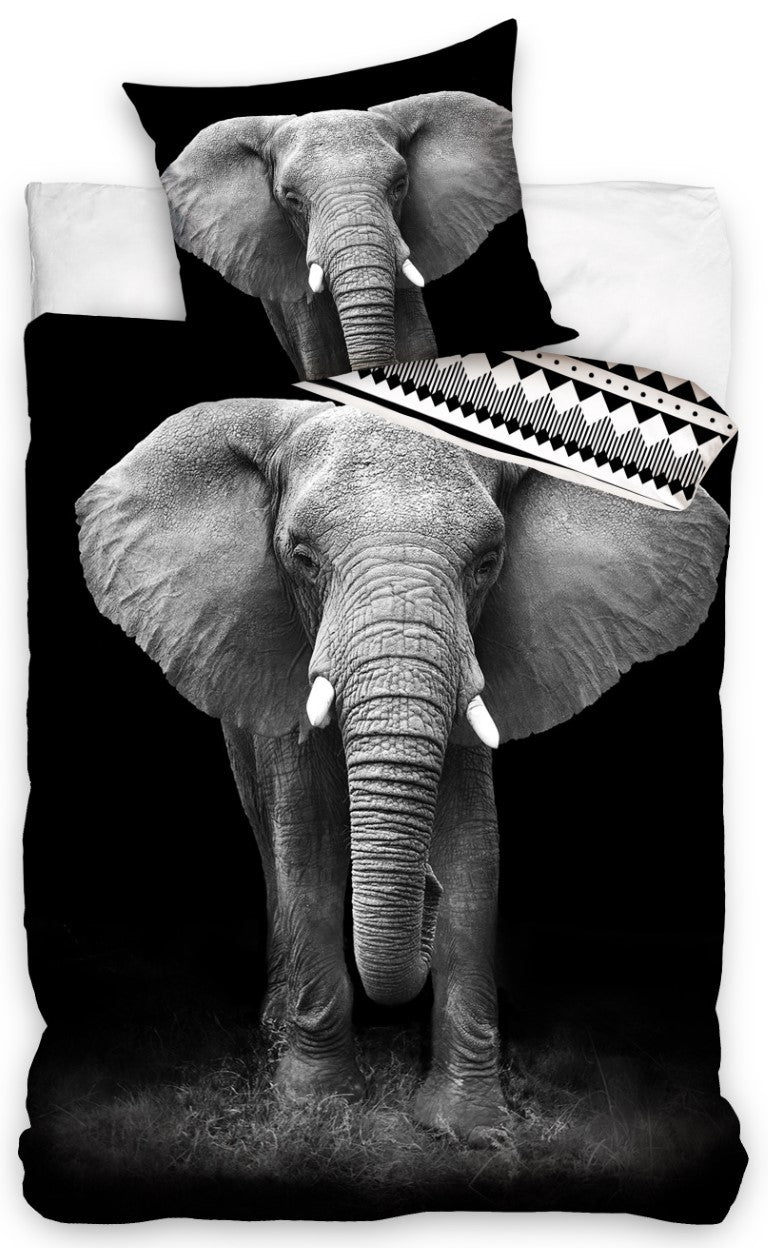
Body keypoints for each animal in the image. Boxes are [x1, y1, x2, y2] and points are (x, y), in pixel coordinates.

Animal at [76, 398, 727, 1141]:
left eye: (488, 563)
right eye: (302, 559)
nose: (425, 891)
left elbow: (474, 850)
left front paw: (469, 1127)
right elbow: (309, 846)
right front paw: (318, 1107)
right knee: (271, 842)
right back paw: (274, 1031)